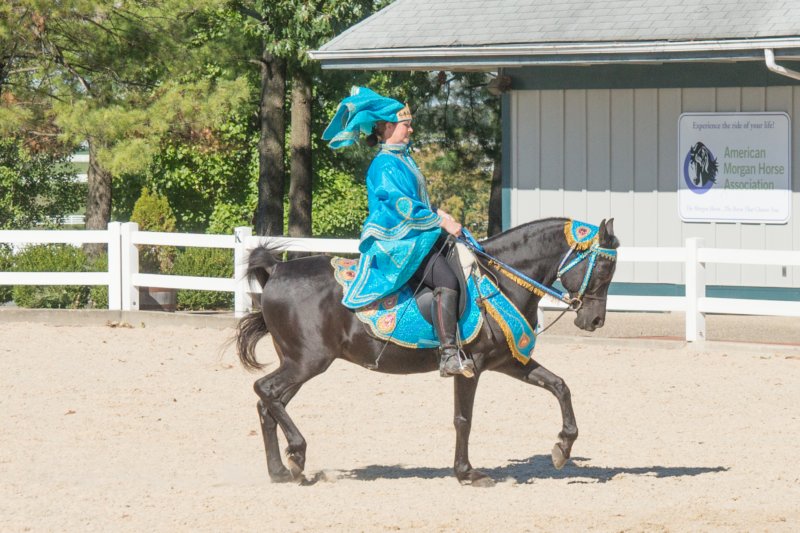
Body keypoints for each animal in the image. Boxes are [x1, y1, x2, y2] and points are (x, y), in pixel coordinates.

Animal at [234, 216, 620, 486]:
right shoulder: (471, 366)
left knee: (268, 403)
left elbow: (559, 386)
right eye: (603, 268)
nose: (595, 320)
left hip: (300, 363)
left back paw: (281, 470)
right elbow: (463, 419)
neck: (497, 280)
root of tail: (277, 270)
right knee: (265, 390)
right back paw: (297, 454)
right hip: (307, 362)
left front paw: (562, 449)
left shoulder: (509, 361)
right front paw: (467, 472)